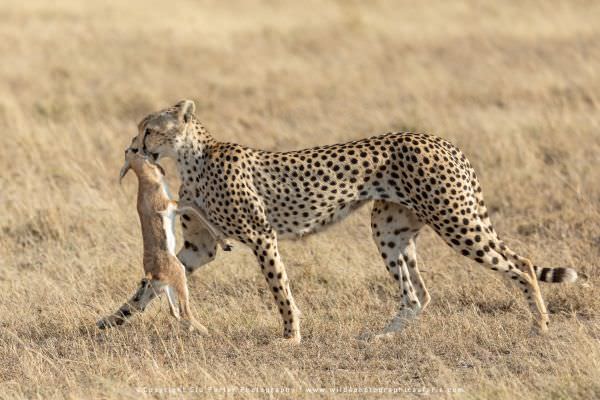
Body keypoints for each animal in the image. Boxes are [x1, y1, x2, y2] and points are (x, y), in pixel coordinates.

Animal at [130, 98, 576, 342]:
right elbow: (153, 281)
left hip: (456, 221)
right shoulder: (200, 248)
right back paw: (377, 337)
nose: (134, 146)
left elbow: (280, 290)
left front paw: (290, 337)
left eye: (150, 129)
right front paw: (115, 321)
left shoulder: (261, 236)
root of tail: (440, 140)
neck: (191, 157)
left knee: (520, 264)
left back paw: (540, 324)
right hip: (390, 227)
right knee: (418, 295)